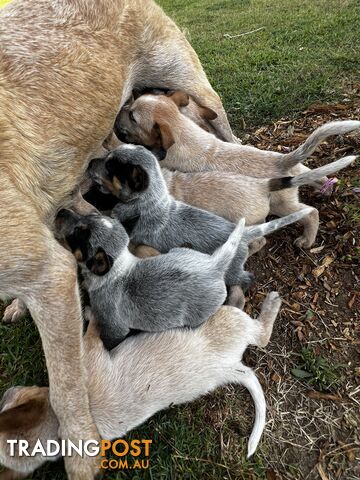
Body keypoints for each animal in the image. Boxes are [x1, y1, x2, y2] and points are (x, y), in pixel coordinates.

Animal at [0, 292, 282, 480]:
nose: (7, 392)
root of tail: (230, 367)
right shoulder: (90, 352)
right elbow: (92, 332)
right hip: (230, 323)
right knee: (261, 334)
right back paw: (270, 302)